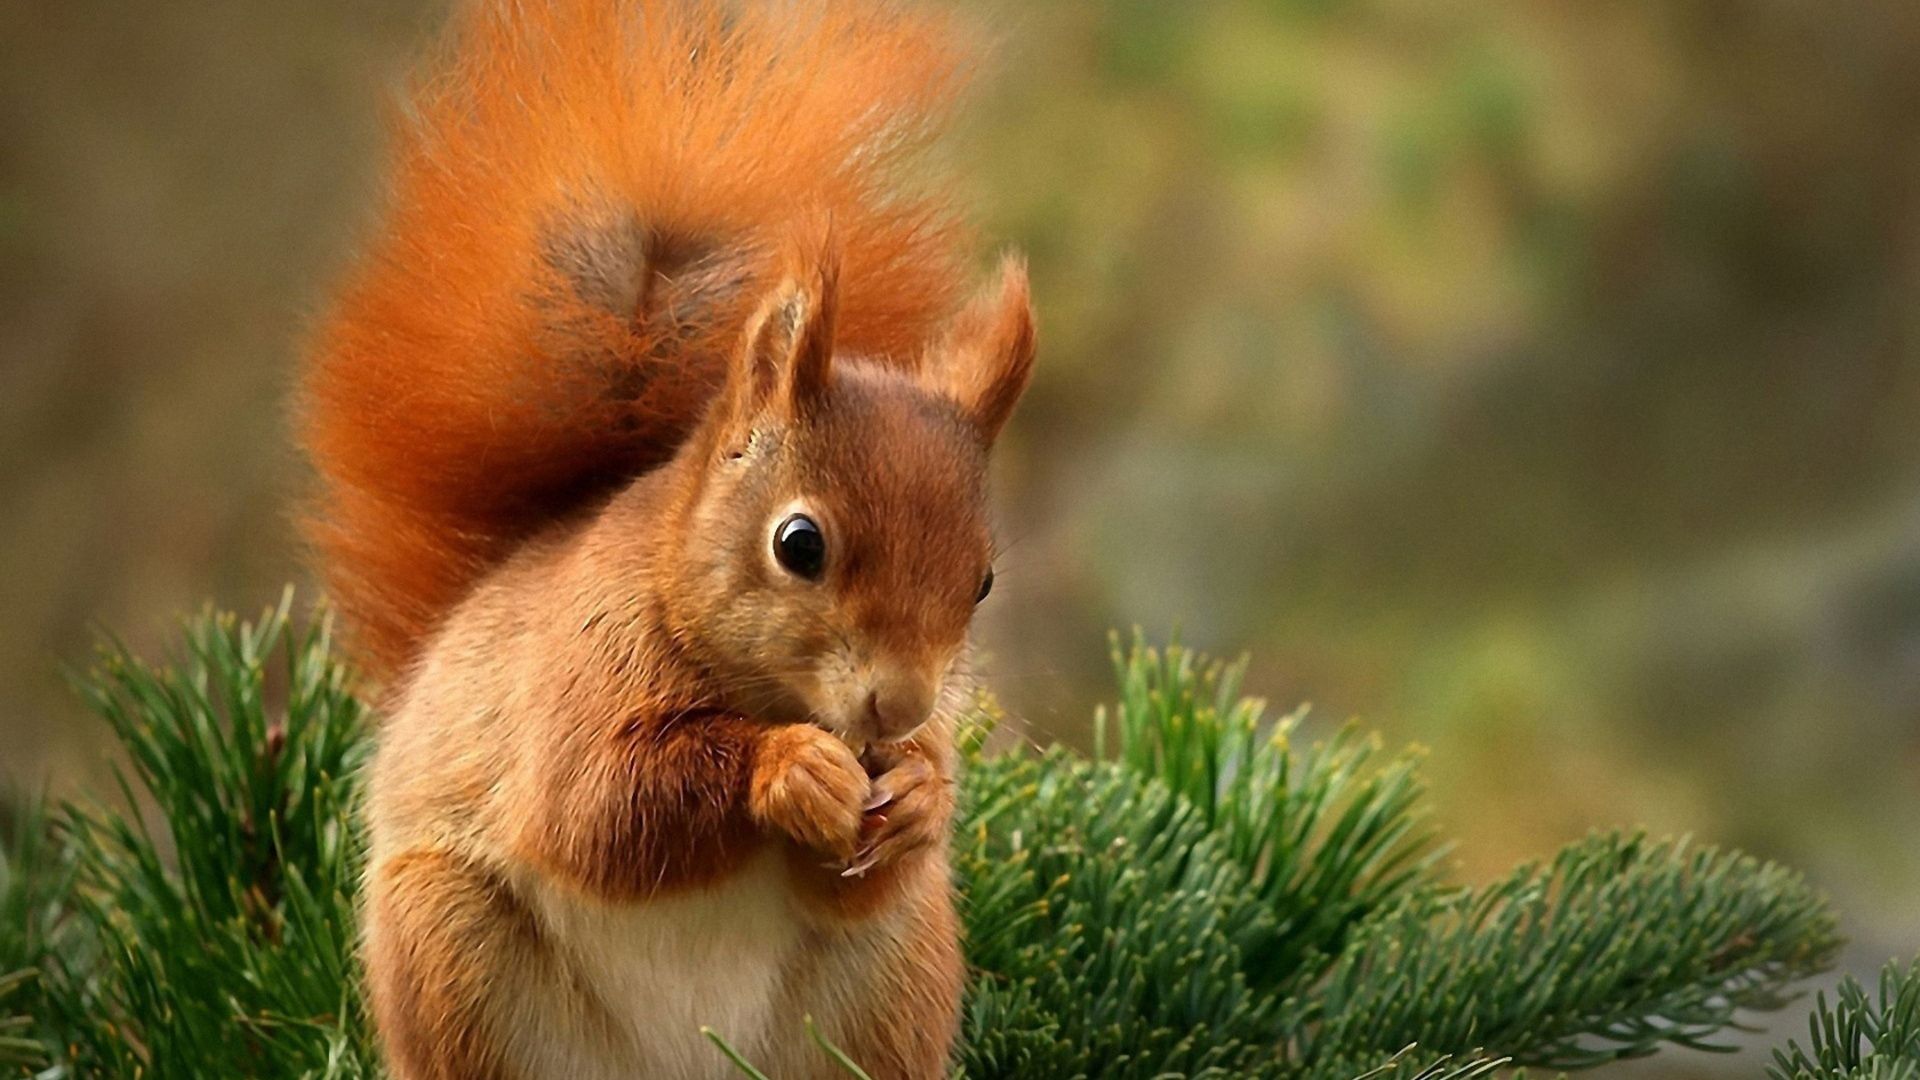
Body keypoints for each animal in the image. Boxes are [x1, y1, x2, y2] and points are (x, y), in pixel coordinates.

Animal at [297, 1, 1035, 1078]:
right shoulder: (578, 676)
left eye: (981, 582)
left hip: (894, 975)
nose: (899, 708)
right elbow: (599, 806)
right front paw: (790, 769)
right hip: (449, 948)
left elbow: (858, 875)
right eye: (799, 544)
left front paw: (922, 798)